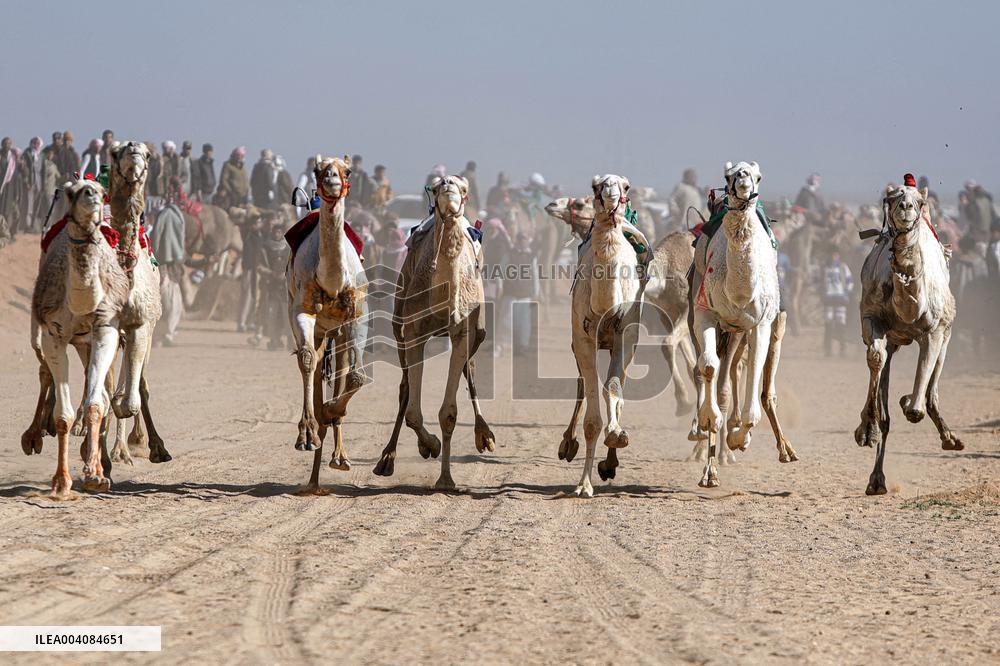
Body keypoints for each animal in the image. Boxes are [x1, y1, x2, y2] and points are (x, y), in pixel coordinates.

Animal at [30, 179, 129, 497]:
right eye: (70, 191)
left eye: (101, 190)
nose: (92, 196)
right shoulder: (54, 333)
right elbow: (63, 416)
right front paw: (61, 483)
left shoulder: (106, 329)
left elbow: (95, 405)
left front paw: (95, 475)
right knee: (44, 371)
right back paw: (32, 437)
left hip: (92, 343)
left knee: (102, 393)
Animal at [373, 174, 495, 489]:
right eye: (438, 185)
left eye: (464, 189)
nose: (450, 195)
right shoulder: (414, 331)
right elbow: (413, 412)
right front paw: (430, 446)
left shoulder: (463, 331)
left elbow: (449, 413)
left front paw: (446, 480)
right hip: (398, 325)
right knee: (404, 389)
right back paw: (386, 459)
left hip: (478, 333)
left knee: (470, 371)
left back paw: (485, 435)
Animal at [563, 175, 646, 497]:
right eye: (595, 185)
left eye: (626, 186)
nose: (610, 191)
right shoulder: (583, 339)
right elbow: (591, 419)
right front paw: (583, 484)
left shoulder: (626, 336)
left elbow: (612, 388)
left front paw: (617, 436)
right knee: (580, 386)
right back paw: (567, 444)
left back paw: (610, 461)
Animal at [689, 161, 797, 488]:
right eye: (728, 175)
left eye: (758, 176)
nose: (742, 179)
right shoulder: (705, 313)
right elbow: (707, 368)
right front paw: (709, 421)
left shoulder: (759, 324)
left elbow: (753, 381)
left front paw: (740, 437)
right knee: (714, 370)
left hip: (761, 328)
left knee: (756, 382)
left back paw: (782, 448)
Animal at [855, 177, 960, 495]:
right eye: (890, 199)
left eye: (920, 202)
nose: (906, 207)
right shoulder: (872, 318)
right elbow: (875, 358)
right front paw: (866, 431)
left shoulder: (936, 330)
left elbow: (916, 408)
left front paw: (907, 401)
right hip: (895, 339)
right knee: (887, 405)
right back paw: (876, 479)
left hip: (946, 331)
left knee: (930, 389)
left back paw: (949, 438)